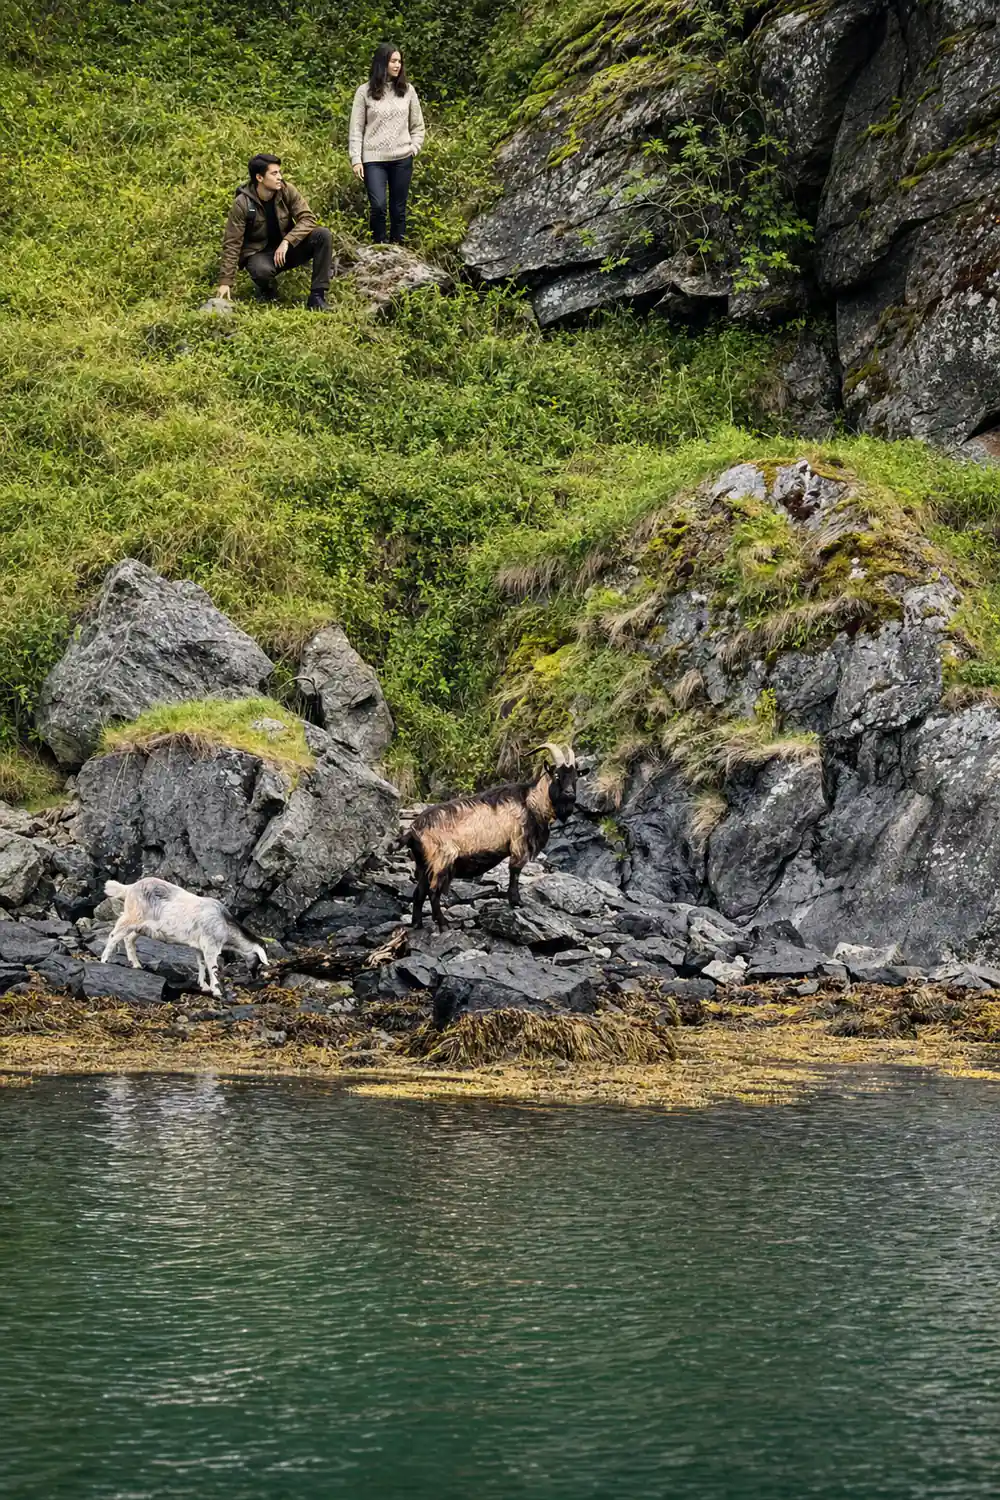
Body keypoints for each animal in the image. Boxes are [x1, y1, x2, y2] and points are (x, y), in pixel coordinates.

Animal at [101, 878, 269, 998]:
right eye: (259, 961)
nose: (255, 977)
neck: (225, 925)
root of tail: (130, 887)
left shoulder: (199, 946)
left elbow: (201, 964)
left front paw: (203, 985)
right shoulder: (210, 945)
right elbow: (213, 967)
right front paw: (217, 991)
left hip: (143, 926)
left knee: (129, 939)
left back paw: (136, 964)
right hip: (133, 916)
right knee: (114, 934)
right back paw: (104, 960)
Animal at [405, 743, 578, 931]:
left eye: (575, 776)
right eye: (556, 775)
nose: (570, 794)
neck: (530, 801)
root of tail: (413, 832)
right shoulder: (519, 843)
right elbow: (515, 871)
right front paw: (516, 902)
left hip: (424, 864)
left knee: (419, 892)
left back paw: (417, 924)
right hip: (441, 860)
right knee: (433, 891)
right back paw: (444, 925)